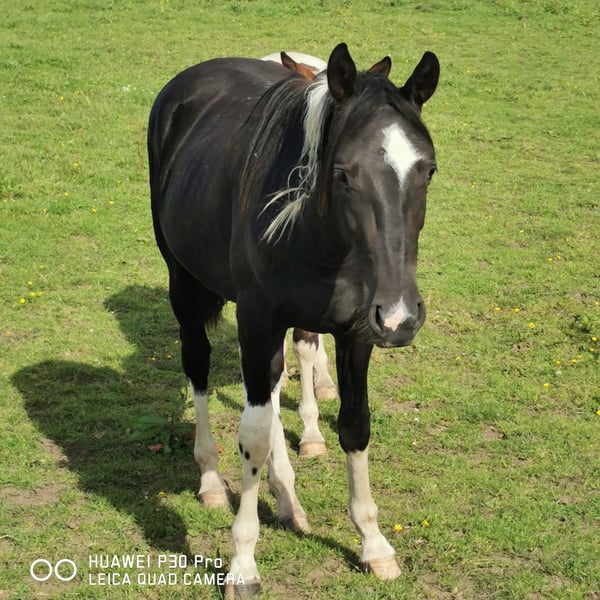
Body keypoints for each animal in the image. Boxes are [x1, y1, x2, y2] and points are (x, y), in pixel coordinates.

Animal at [148, 42, 439, 598]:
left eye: (428, 169)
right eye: (342, 172)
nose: (401, 316)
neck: (320, 238)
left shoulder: (355, 332)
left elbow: (353, 425)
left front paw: (374, 545)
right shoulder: (259, 320)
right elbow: (256, 436)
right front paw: (242, 562)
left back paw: (287, 499)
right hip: (184, 283)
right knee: (198, 366)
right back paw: (212, 479)